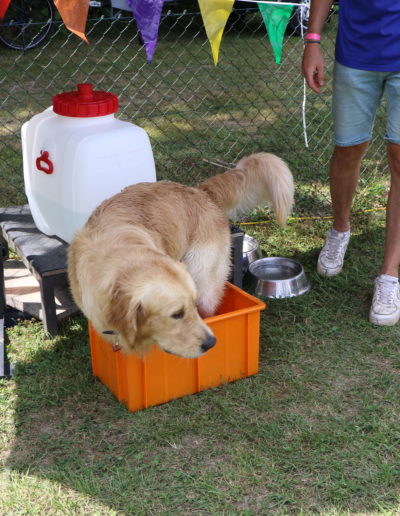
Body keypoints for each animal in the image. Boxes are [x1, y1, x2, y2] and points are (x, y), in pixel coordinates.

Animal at [68, 152, 294, 358]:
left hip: (203, 277)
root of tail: (201, 191)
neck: (122, 253)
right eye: (176, 314)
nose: (212, 343)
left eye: (188, 309)